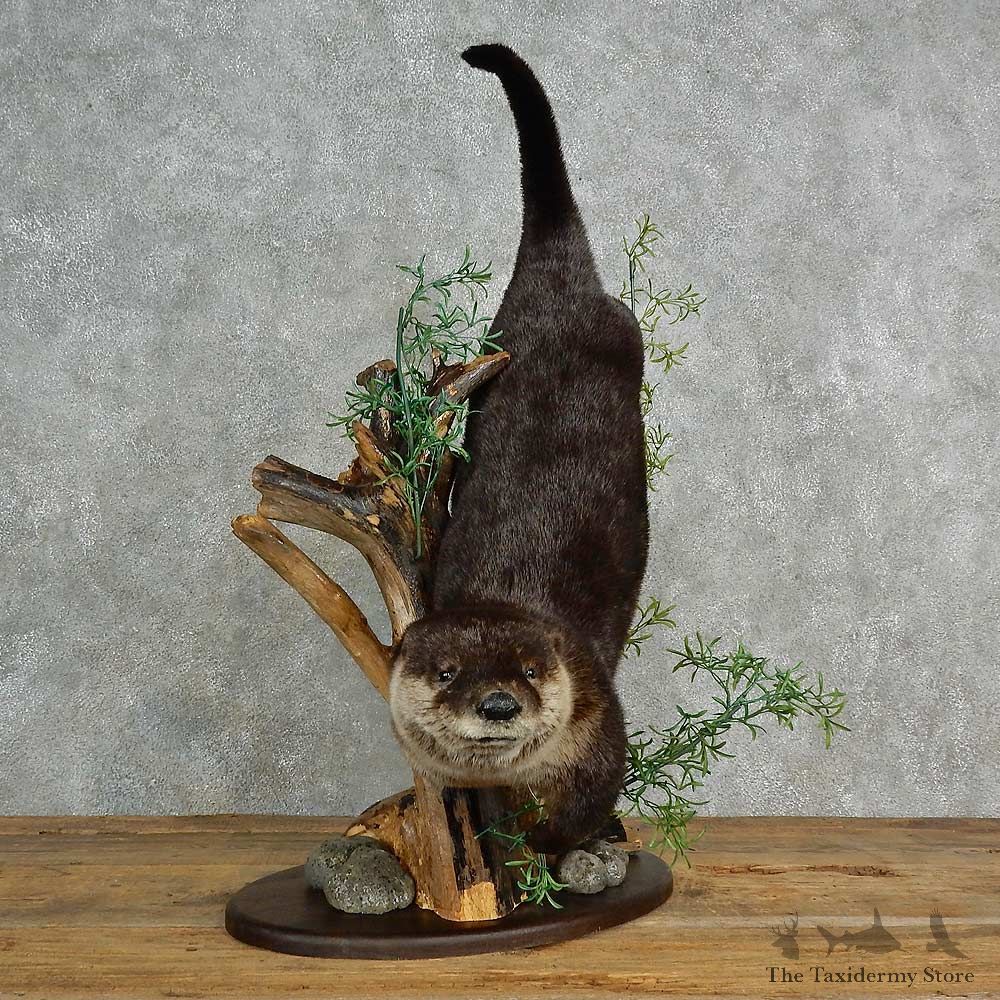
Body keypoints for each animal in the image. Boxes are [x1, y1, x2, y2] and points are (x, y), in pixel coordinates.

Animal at [389, 44, 648, 854]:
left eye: (531, 671)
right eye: (446, 673)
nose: (499, 703)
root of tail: (558, 283)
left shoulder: (600, 725)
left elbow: (583, 810)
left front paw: (559, 850)